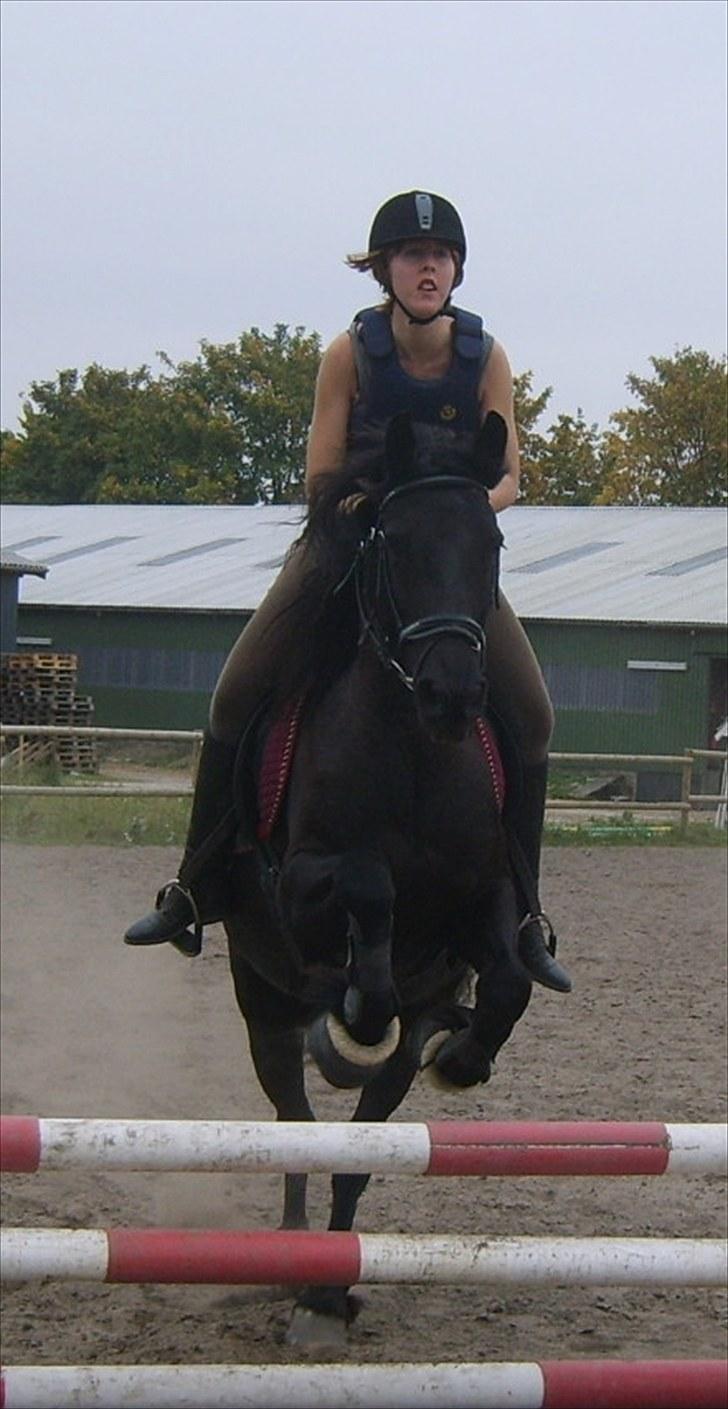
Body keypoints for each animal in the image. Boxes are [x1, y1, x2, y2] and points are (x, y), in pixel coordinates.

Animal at [221, 411, 526, 1341]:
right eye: (392, 541)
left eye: (492, 541)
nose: (452, 692)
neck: (414, 751)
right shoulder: (301, 882)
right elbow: (368, 887)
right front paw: (362, 997)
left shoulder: (486, 898)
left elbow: (507, 978)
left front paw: (462, 1055)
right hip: (263, 997)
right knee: (293, 1121)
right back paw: (296, 1264)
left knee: (359, 1138)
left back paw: (328, 1285)